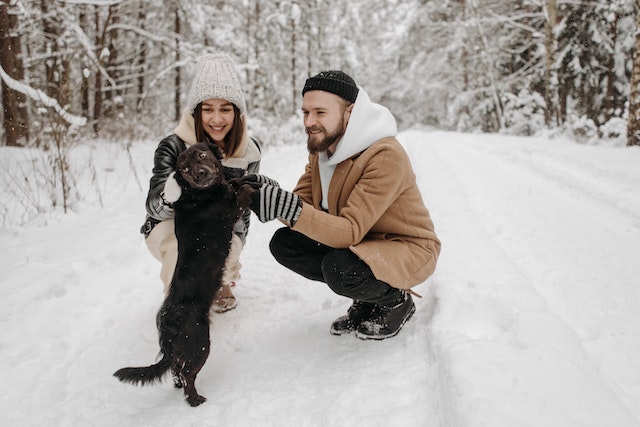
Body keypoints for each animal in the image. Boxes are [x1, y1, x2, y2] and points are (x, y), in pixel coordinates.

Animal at [114, 142, 254, 406]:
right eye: (185, 169)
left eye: (201, 154)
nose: (200, 174)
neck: (200, 194)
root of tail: (167, 326)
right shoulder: (231, 209)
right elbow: (242, 192)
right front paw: (247, 185)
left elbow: (235, 183)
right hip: (199, 344)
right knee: (188, 374)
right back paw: (195, 399)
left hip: (184, 352)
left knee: (176, 371)